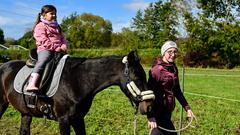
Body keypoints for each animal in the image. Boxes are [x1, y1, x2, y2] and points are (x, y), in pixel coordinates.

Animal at [0, 51, 154, 134]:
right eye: (137, 77)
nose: (149, 106)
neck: (77, 81)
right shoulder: (64, 120)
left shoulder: (78, 119)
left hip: (26, 113)